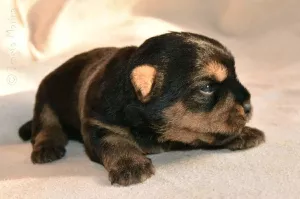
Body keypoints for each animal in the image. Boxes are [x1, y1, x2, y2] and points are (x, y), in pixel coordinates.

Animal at [18, 31, 264, 186]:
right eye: (207, 87)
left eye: (235, 76)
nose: (248, 105)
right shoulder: (98, 124)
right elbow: (116, 142)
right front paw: (131, 164)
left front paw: (245, 132)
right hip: (45, 96)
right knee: (46, 125)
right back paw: (47, 147)